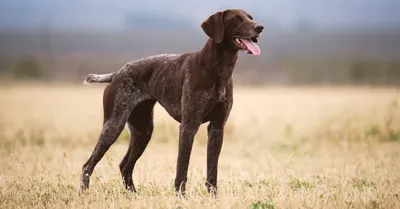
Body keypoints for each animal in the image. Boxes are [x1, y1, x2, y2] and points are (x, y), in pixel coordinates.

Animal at [79, 8, 264, 196]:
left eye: (250, 17)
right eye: (237, 19)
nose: (260, 27)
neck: (218, 68)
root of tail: (116, 73)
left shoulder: (217, 128)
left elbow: (212, 169)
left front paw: (213, 197)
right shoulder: (188, 126)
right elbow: (182, 167)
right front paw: (180, 197)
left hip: (143, 131)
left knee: (125, 165)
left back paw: (133, 194)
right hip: (113, 126)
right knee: (88, 165)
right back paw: (84, 192)